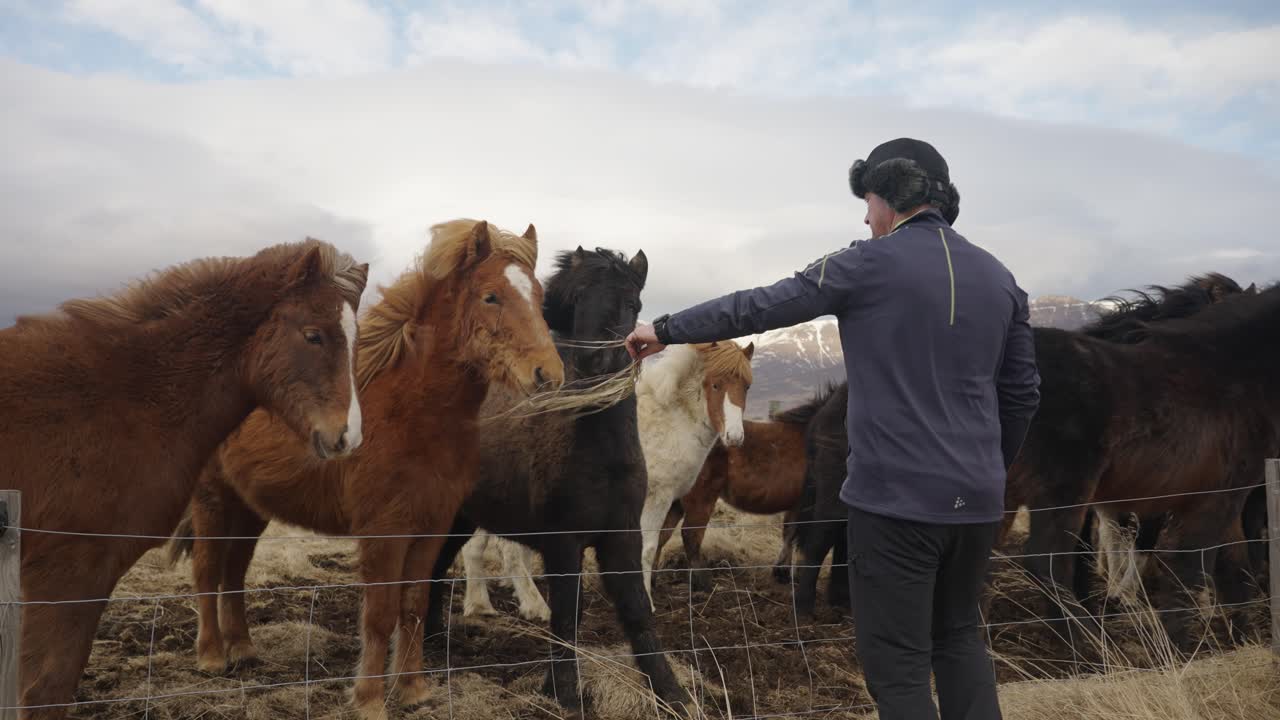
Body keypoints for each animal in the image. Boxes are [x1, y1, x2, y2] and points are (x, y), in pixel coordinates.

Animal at [165, 219, 564, 720]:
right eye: (491, 296)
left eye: (539, 295)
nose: (549, 375)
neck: (413, 411)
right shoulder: (384, 531)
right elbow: (379, 615)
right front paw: (371, 700)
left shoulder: (430, 527)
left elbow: (413, 605)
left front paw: (413, 690)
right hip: (213, 500)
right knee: (206, 572)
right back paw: (213, 657)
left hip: (250, 507)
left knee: (233, 573)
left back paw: (244, 650)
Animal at [420, 246, 693, 714]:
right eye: (579, 296)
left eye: (633, 302)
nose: (598, 361)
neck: (600, 450)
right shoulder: (564, 543)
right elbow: (568, 616)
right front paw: (563, 691)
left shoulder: (621, 537)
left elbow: (637, 612)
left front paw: (670, 691)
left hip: (461, 521)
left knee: (436, 571)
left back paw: (437, 640)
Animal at [655, 396, 821, 593]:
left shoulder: (796, 504)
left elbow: (789, 533)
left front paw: (781, 572)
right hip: (701, 499)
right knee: (691, 535)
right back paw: (702, 583)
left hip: (677, 501)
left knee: (662, 534)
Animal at [1004, 280, 1280, 645]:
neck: (1231, 369)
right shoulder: (1215, 498)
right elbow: (1192, 565)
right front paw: (1179, 642)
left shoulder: (1226, 498)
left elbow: (1233, 565)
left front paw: (1241, 635)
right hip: (1063, 492)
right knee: (1046, 563)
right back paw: (1093, 646)